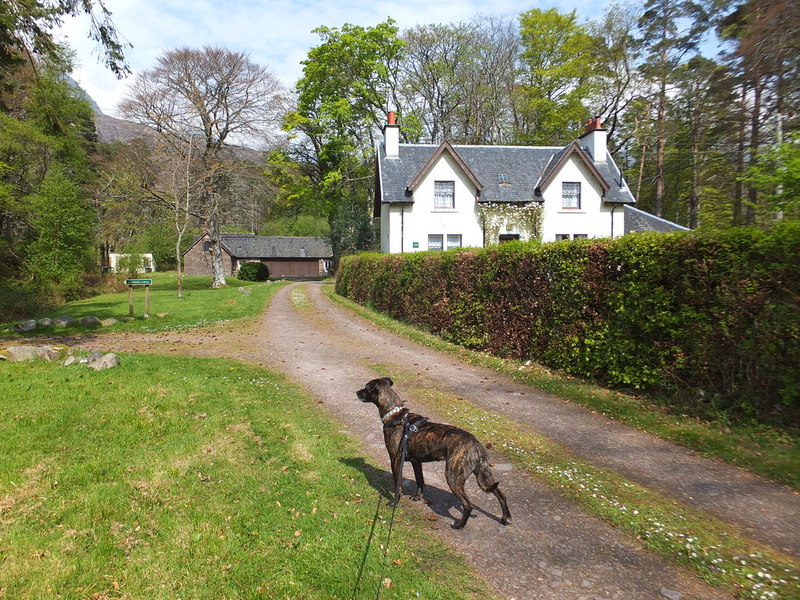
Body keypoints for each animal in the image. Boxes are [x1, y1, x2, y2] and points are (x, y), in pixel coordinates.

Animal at [356, 378, 512, 528]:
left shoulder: (395, 460)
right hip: (484, 474)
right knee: (500, 493)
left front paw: (394, 502)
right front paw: (418, 497)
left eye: (366, 388)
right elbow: (420, 481)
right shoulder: (416, 462)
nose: (356, 392)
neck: (396, 415)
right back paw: (506, 518)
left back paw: (459, 525)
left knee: (468, 505)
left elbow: (398, 485)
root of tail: (477, 446)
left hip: (453, 476)